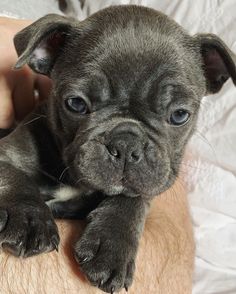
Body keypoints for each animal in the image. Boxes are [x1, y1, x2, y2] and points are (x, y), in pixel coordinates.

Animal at [0, 5, 235, 294]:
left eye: (180, 115)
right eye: (76, 104)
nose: (125, 144)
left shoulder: (149, 180)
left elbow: (131, 200)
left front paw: (111, 248)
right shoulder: (7, 153)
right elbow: (14, 178)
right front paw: (28, 220)